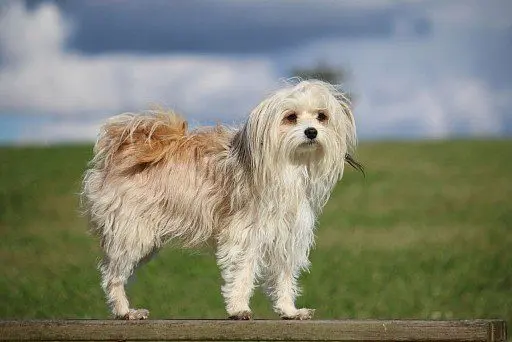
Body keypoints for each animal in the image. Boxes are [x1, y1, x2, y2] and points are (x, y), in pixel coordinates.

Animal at [82, 79, 362, 320]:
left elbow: (284, 279)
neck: (288, 168)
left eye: (322, 116)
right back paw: (124, 311)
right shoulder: (245, 235)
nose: (312, 131)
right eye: (291, 117)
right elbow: (243, 274)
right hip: (132, 235)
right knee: (112, 276)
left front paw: (289, 311)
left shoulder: (287, 238)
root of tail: (122, 151)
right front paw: (239, 308)